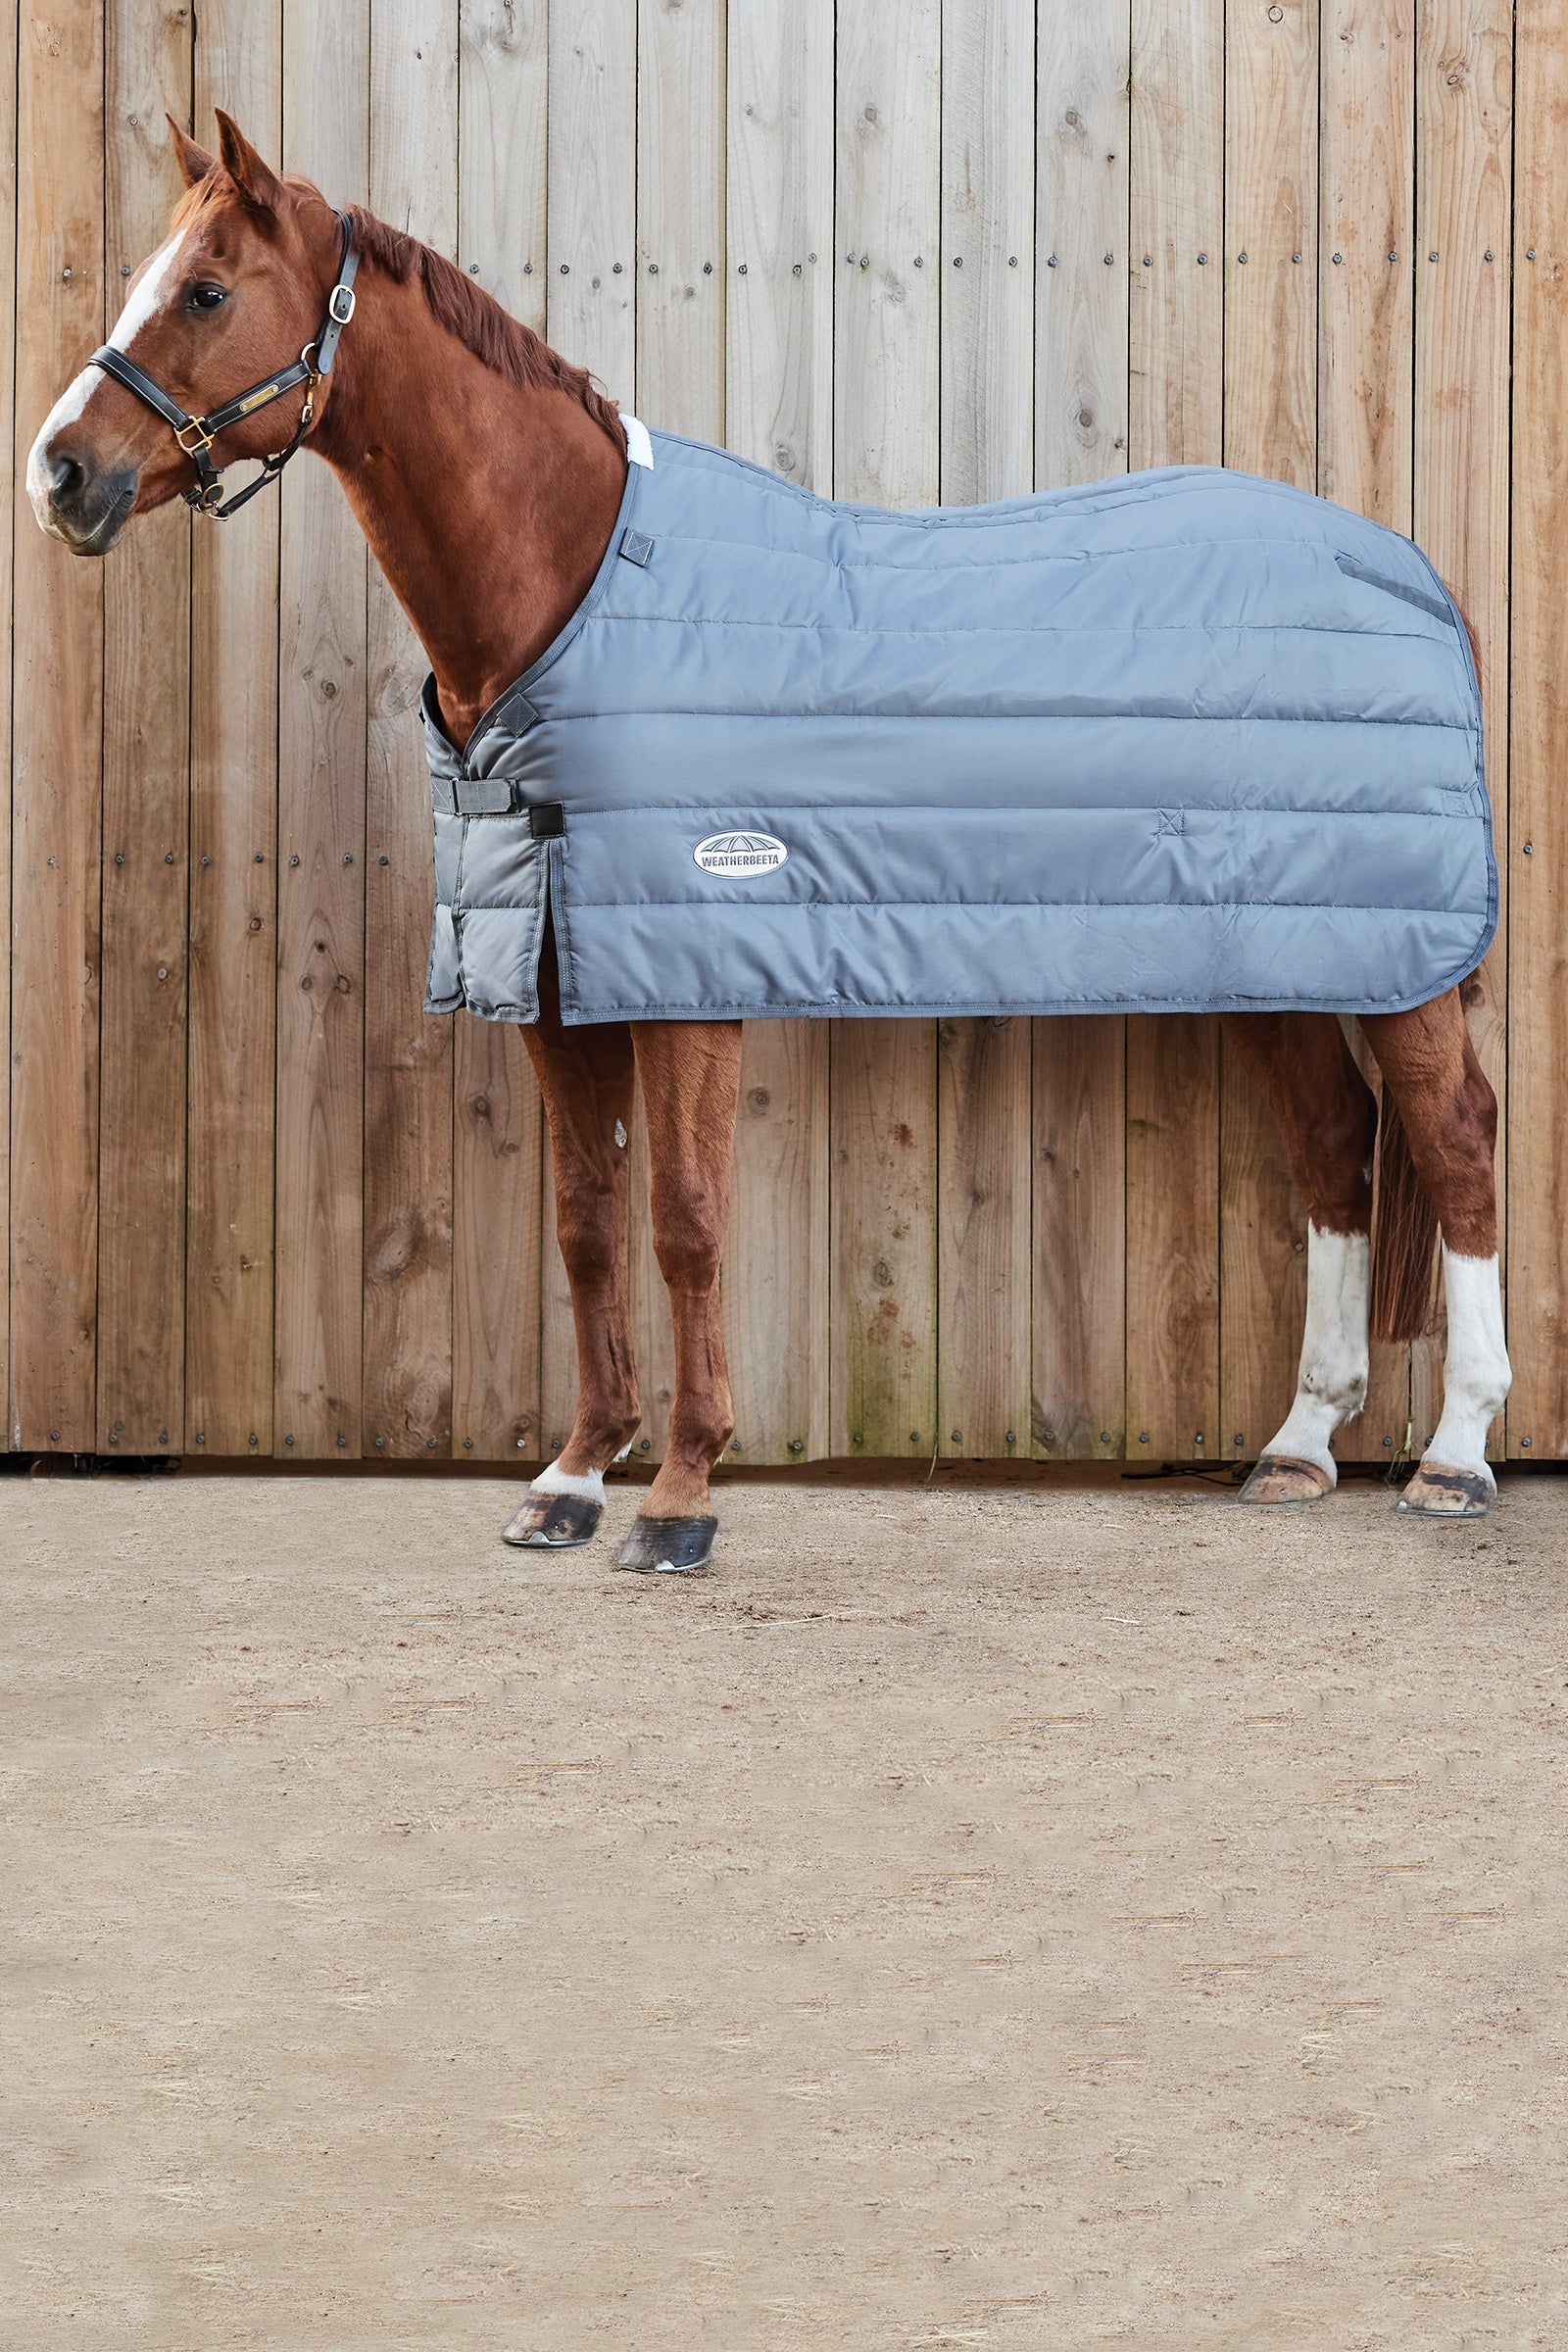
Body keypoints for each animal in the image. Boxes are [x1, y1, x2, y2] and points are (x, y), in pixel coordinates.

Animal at [26, 112, 1511, 1567]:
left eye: (206, 290)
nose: (60, 474)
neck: (573, 589)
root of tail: (1406, 569)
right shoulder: (554, 980)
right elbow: (586, 1223)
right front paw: (572, 1479)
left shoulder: (687, 974)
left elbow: (684, 1222)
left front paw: (681, 1497)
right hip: (1288, 957)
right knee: (1333, 1148)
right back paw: (1299, 1448)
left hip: (1400, 963)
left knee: (1453, 1138)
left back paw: (1453, 1459)